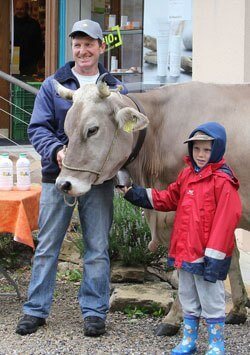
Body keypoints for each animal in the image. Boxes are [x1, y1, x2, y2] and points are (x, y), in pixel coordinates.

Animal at [53, 78, 249, 336]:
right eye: (66, 130)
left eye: (92, 129)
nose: (64, 184)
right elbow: (232, 255)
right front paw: (237, 310)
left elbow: (187, 267)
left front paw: (173, 318)